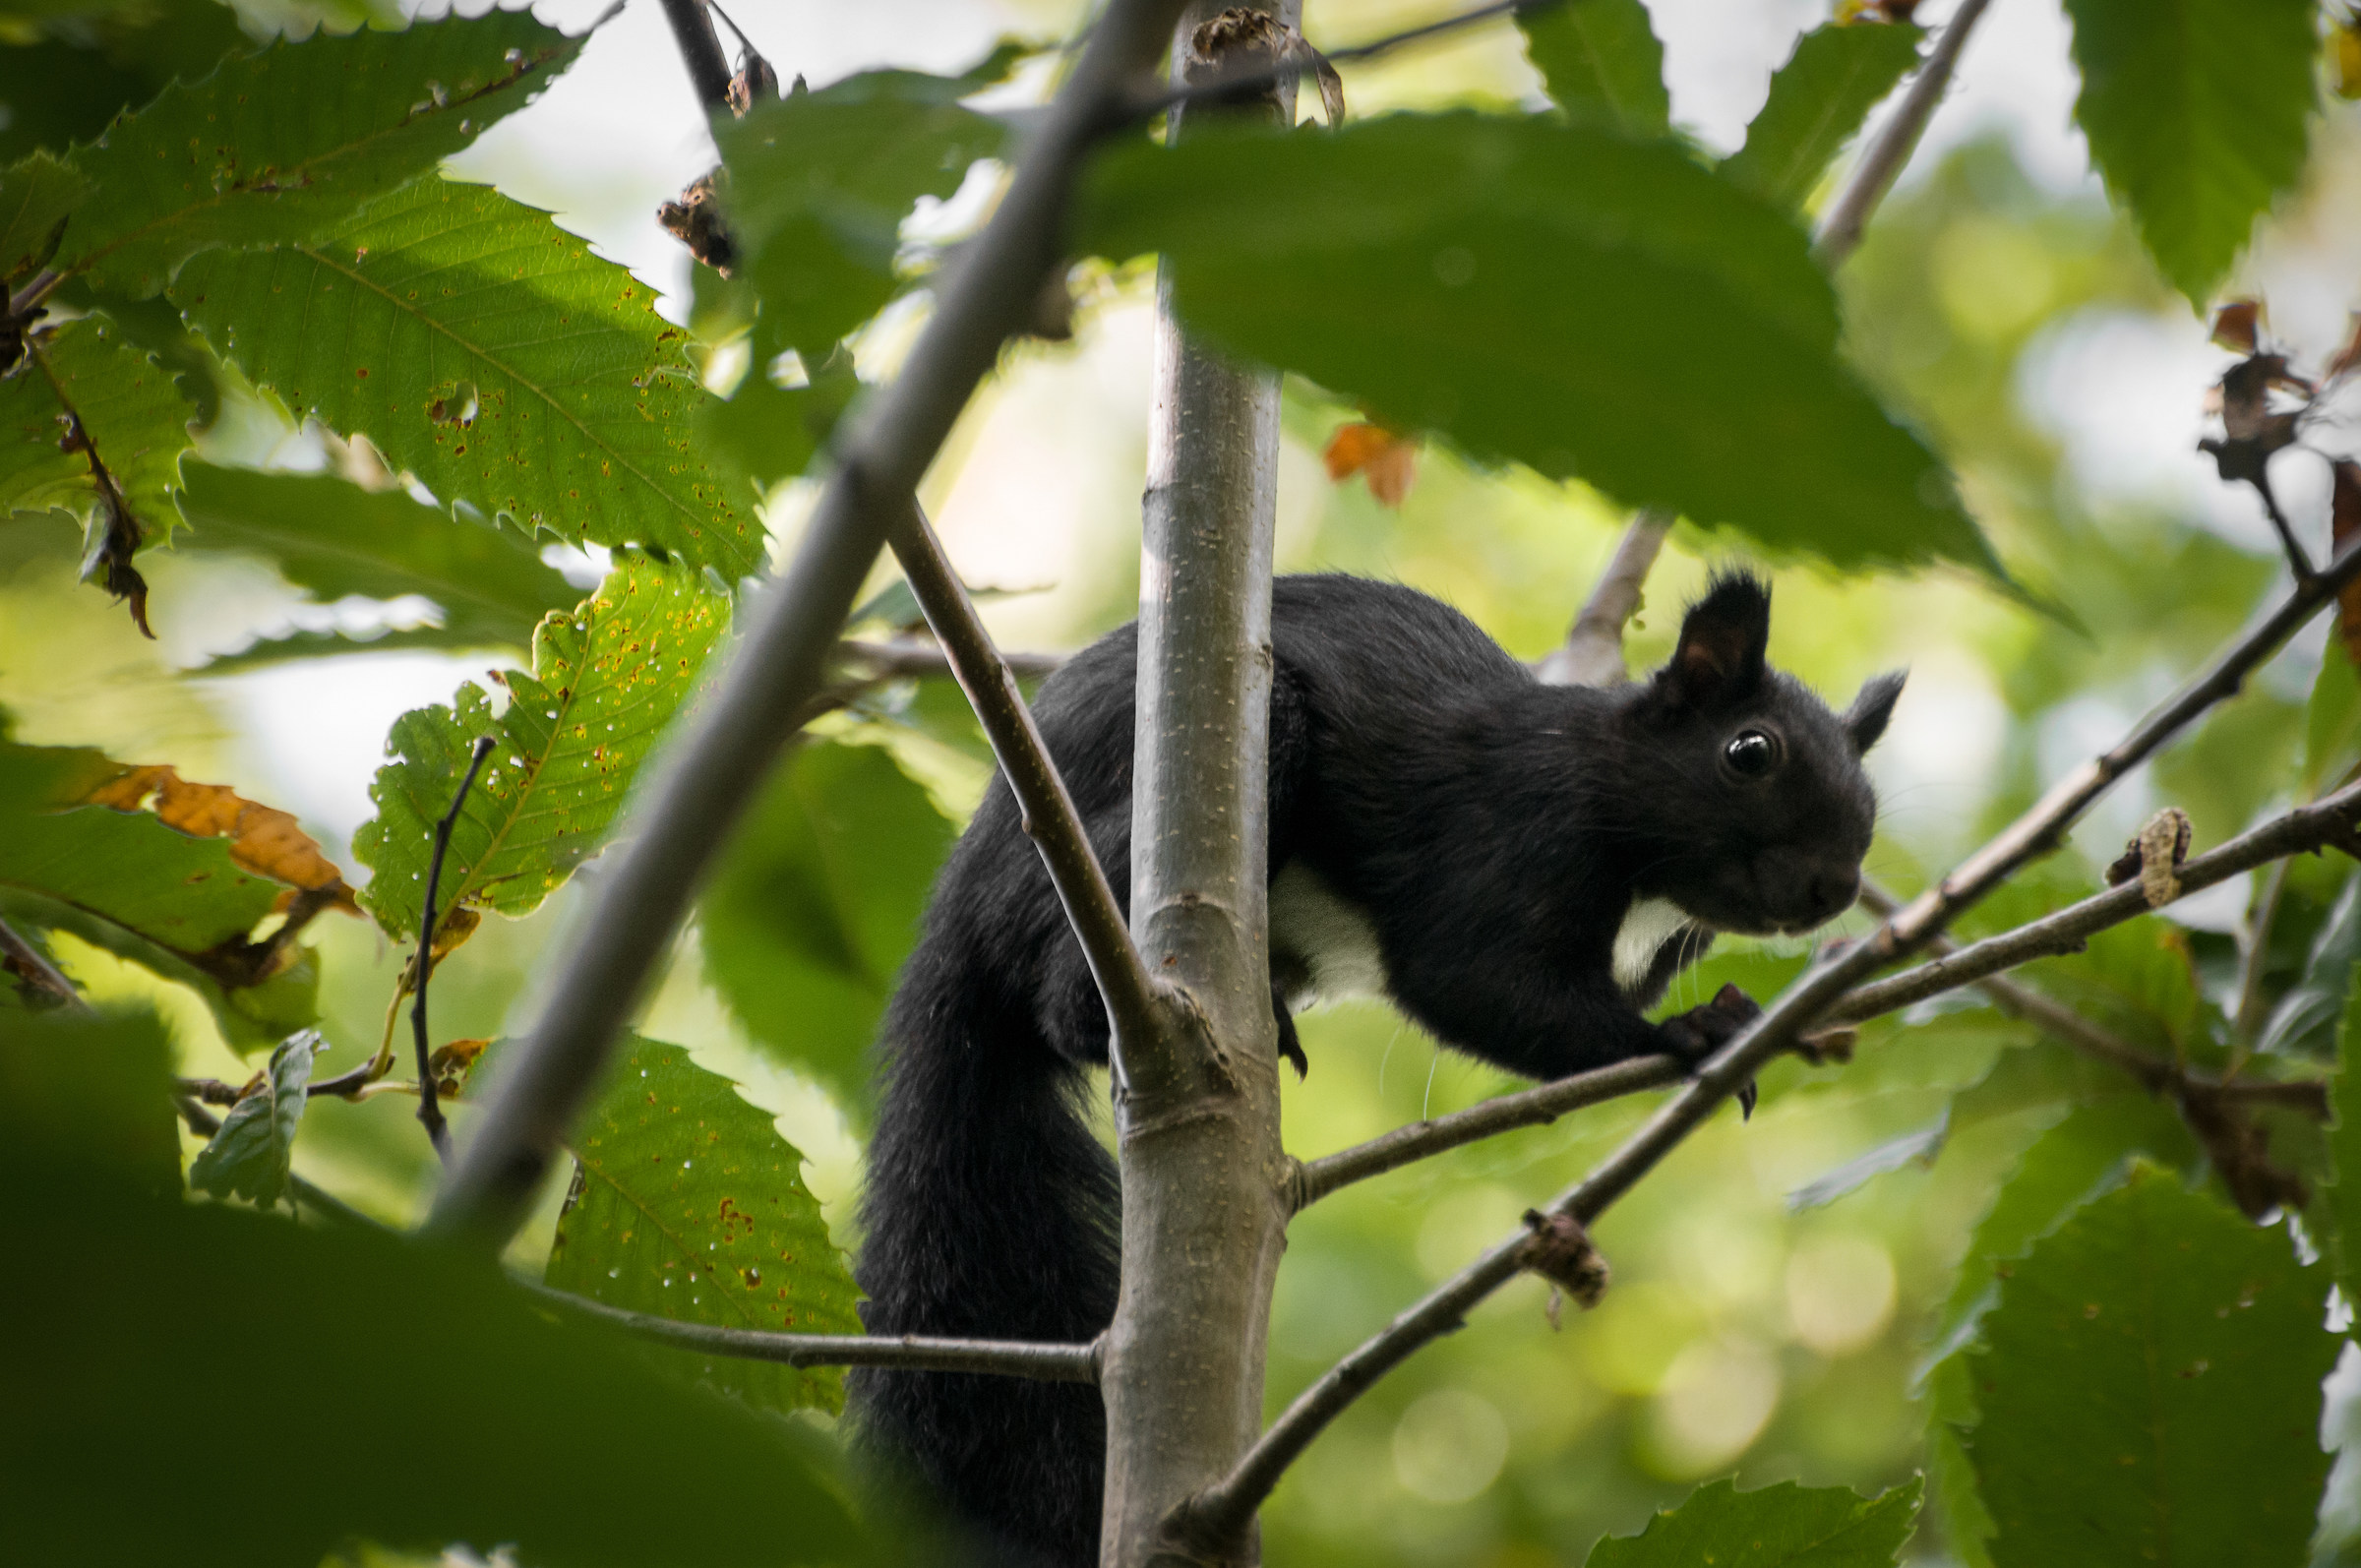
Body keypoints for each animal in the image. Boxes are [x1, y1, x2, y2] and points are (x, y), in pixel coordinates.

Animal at [851, 572, 1901, 1566]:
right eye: (1750, 752)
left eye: (1870, 797)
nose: (1835, 886)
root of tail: (965, 895)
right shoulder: (1508, 839)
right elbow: (1477, 981)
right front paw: (1695, 1036)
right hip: (1128, 817)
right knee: (1053, 980)